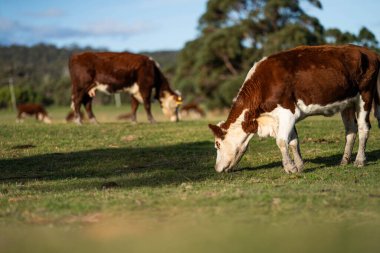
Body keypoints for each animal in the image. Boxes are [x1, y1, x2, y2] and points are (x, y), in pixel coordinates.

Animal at [208, 44, 380, 173]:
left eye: (217, 144)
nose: (216, 168)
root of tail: (369, 52)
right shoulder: (284, 116)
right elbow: (293, 141)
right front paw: (299, 166)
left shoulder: (288, 111)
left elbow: (281, 141)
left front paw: (290, 167)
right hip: (347, 103)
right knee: (351, 130)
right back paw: (344, 161)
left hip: (365, 95)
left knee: (363, 128)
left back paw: (359, 161)